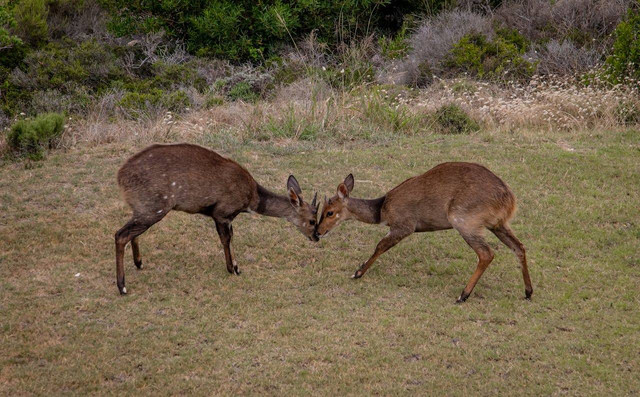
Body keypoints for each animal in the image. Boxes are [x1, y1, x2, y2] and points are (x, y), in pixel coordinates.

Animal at [115, 143, 320, 294]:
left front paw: (235, 267)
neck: (252, 199)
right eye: (312, 220)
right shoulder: (222, 212)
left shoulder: (226, 217)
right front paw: (233, 269)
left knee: (130, 232)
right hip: (154, 207)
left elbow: (230, 238)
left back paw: (139, 263)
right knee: (120, 235)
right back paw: (122, 287)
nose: (316, 237)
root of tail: (120, 177)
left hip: (142, 208)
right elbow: (226, 239)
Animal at [318, 162, 532, 302]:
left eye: (329, 212)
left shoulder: (404, 226)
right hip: (498, 225)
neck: (381, 209)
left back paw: (463, 295)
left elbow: (380, 246)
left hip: (464, 221)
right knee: (519, 247)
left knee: (486, 253)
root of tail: (509, 198)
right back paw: (528, 292)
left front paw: (358, 272)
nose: (318, 232)